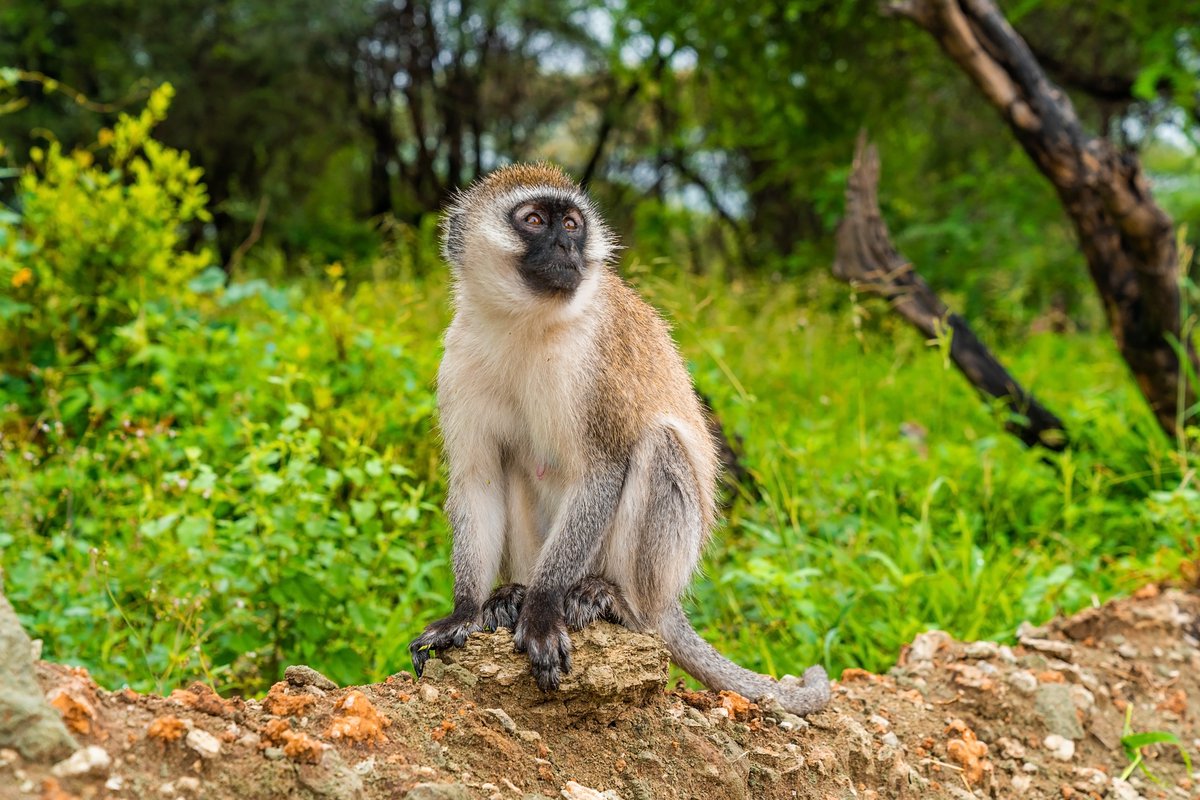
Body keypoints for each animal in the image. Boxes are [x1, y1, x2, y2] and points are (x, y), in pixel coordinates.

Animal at [408, 160, 830, 714]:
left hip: (657, 568)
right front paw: (465, 611)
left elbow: (604, 469)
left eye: (571, 225)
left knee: (658, 445)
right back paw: (511, 594)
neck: (526, 323)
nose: (566, 249)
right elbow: (479, 480)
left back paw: (614, 602)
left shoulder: (597, 362)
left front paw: (541, 611)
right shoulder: (458, 359)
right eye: (535, 219)